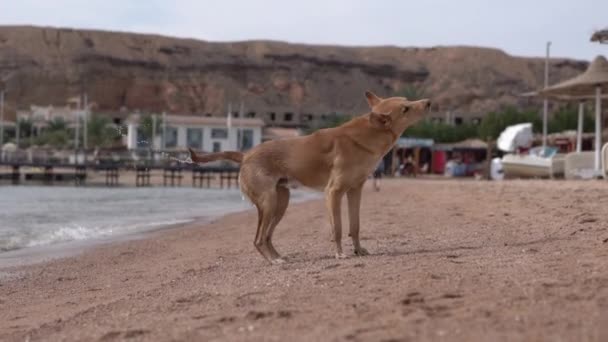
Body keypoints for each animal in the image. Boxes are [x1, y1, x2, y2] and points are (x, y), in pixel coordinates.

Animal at [188, 91, 430, 264]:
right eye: (406, 108)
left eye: (407, 100)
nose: (428, 102)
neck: (366, 137)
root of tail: (246, 154)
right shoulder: (333, 192)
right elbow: (337, 228)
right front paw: (340, 253)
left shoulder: (355, 190)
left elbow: (355, 226)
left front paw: (359, 250)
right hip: (269, 202)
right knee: (258, 238)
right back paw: (274, 261)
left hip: (280, 202)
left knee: (266, 236)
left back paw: (278, 257)